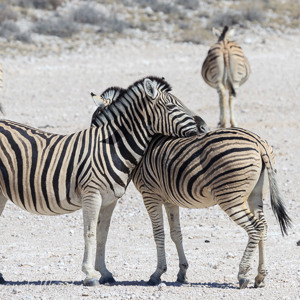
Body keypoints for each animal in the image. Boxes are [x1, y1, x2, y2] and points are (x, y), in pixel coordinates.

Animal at [0, 75, 204, 286]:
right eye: (171, 107)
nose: (202, 127)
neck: (111, 148)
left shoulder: (110, 200)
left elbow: (102, 235)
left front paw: (105, 272)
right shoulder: (92, 195)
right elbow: (89, 233)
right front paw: (89, 274)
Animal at [131, 127, 290, 290]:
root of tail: (258, 142)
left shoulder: (150, 195)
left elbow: (158, 234)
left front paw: (157, 273)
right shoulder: (170, 200)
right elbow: (176, 234)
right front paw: (182, 272)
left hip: (230, 197)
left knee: (256, 227)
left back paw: (242, 274)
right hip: (256, 195)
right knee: (264, 226)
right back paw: (260, 277)